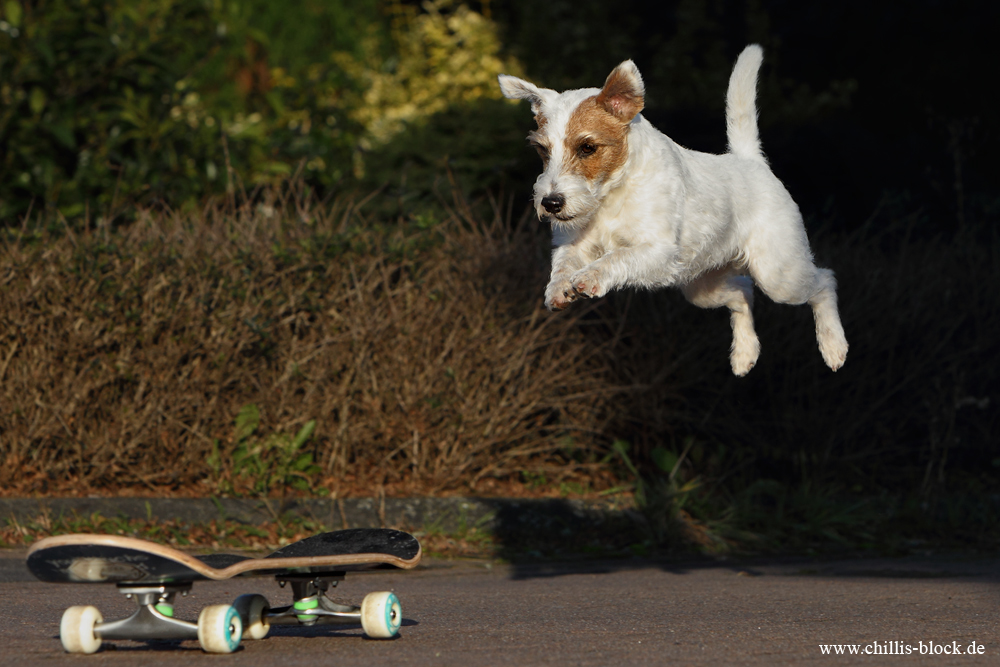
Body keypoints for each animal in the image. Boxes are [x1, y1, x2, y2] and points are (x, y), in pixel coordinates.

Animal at [496, 45, 848, 376]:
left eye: (587, 147)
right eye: (542, 150)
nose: (551, 203)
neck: (612, 193)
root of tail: (750, 160)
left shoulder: (657, 249)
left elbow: (615, 257)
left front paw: (590, 277)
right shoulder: (574, 243)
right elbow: (563, 265)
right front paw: (558, 289)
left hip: (779, 275)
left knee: (824, 282)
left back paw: (833, 346)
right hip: (702, 287)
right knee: (743, 295)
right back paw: (744, 354)